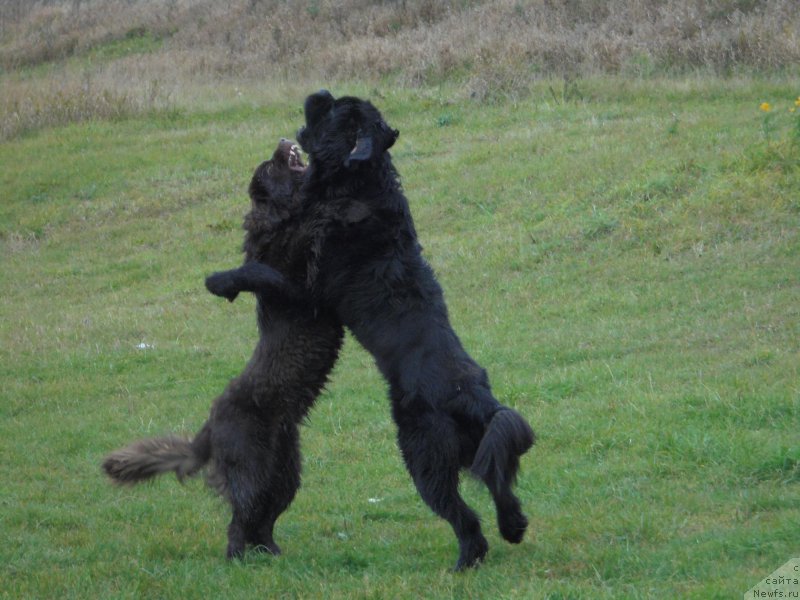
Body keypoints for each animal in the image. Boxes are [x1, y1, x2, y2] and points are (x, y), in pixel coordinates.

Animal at [101, 138, 342, 560]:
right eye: (270, 167)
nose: (284, 142)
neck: (282, 221)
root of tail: (210, 428)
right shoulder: (298, 291)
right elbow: (263, 270)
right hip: (251, 468)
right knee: (239, 521)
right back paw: (237, 561)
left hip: (284, 471)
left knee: (261, 520)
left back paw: (272, 555)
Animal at [205, 94, 536, 572]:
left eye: (334, 114)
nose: (319, 93)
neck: (357, 187)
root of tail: (475, 400)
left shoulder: (306, 291)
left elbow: (259, 269)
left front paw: (219, 281)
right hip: (481, 446)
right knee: (499, 485)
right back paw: (513, 528)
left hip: (422, 456)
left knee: (465, 516)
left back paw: (465, 561)